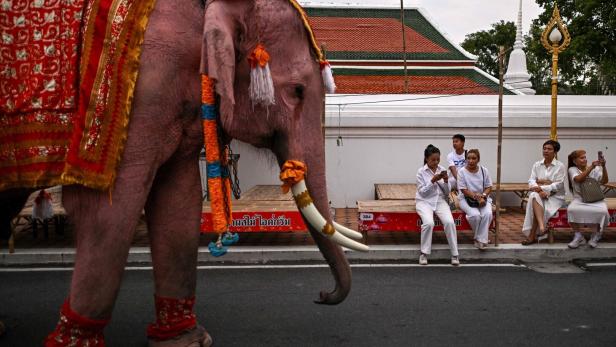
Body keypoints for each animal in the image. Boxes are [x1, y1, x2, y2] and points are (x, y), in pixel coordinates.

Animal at [0, 0, 368, 346]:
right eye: (298, 91)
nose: (322, 295)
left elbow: (179, 201)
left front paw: (186, 340)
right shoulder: (140, 88)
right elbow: (109, 210)